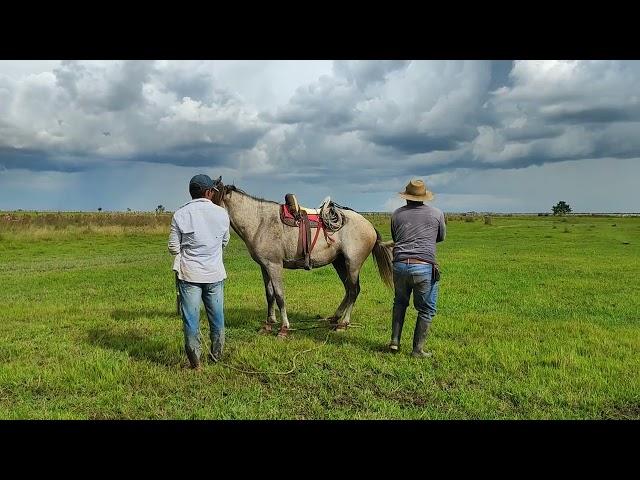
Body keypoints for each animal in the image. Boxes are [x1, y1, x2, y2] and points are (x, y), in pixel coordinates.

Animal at [214, 178, 396, 340]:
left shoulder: (274, 265)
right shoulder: (264, 266)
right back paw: (335, 318)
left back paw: (343, 324)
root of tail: (369, 225)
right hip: (339, 263)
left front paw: (284, 328)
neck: (260, 222)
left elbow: (279, 295)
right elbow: (269, 295)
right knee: (348, 290)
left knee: (353, 290)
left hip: (353, 264)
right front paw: (268, 325)